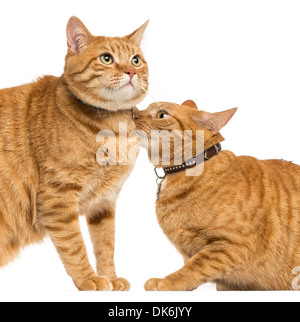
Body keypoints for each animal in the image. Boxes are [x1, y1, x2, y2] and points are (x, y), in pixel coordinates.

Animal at [0, 16, 149, 290]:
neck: (114, 127)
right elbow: (74, 246)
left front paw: (111, 278)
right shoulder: (56, 200)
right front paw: (89, 279)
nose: (131, 72)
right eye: (106, 58)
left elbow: (105, 244)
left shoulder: (104, 202)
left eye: (136, 60)